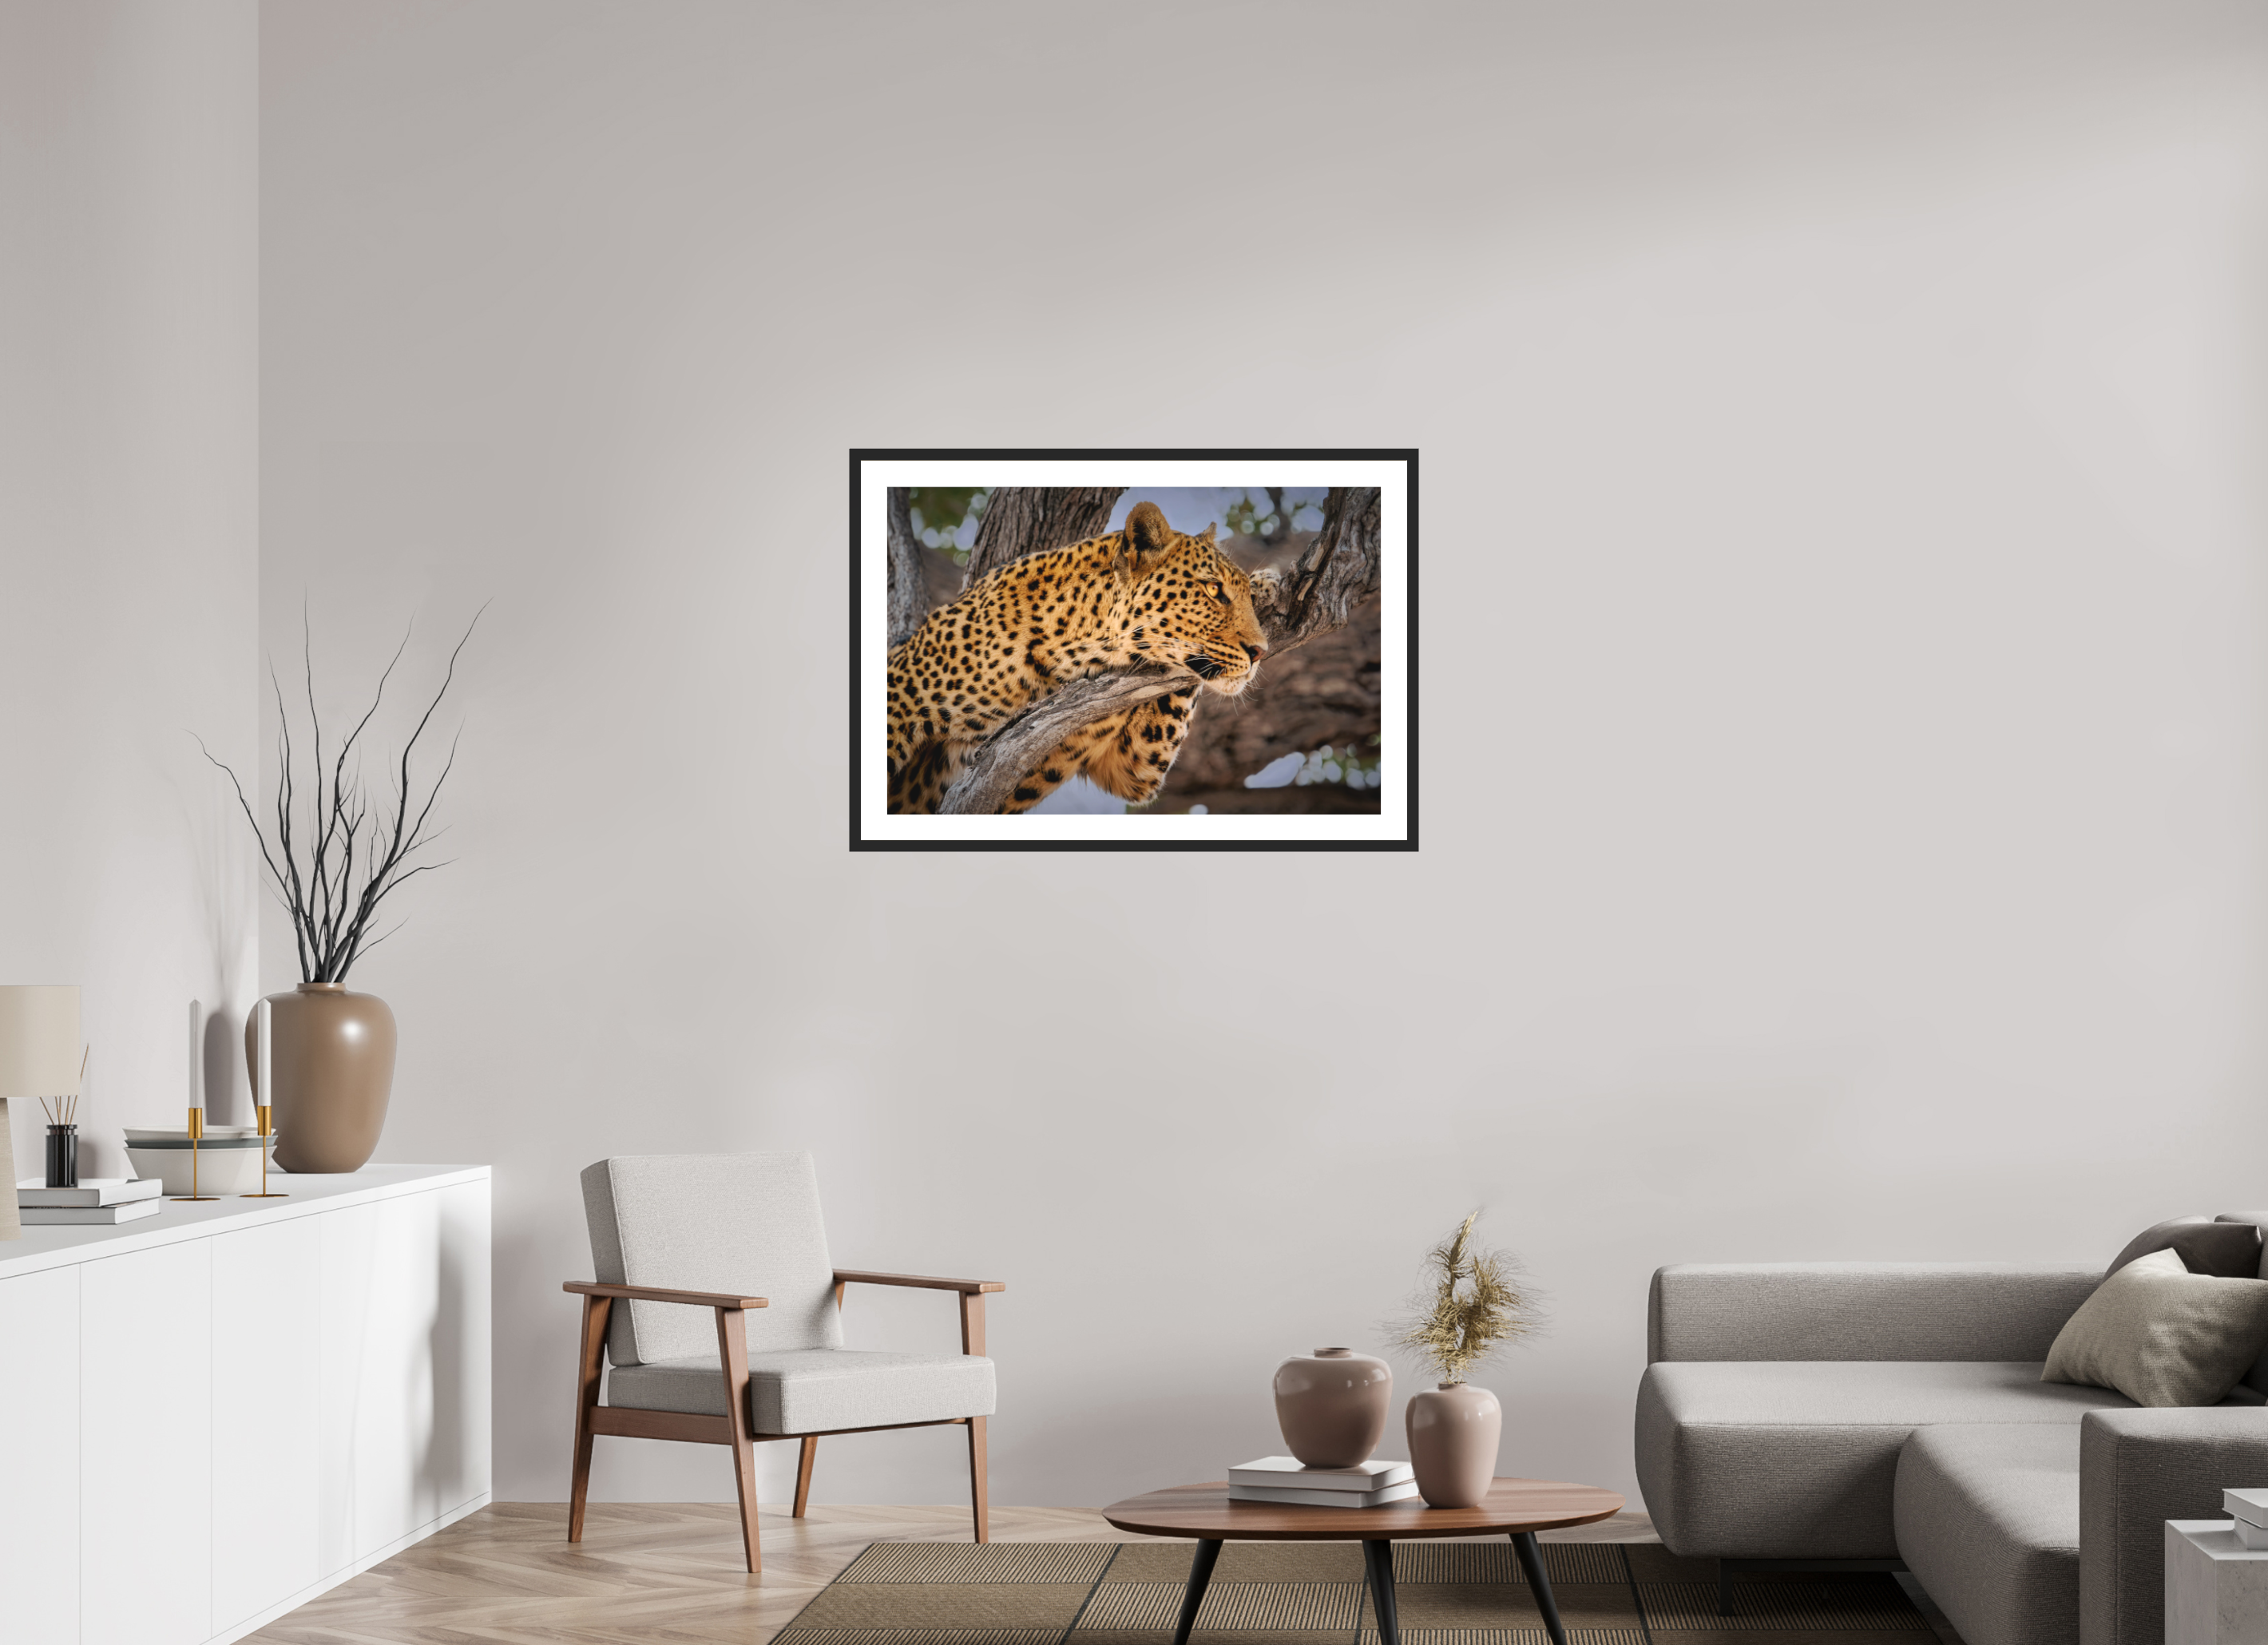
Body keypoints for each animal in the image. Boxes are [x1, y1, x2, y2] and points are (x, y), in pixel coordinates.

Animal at [886, 500, 1269, 815]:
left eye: (1244, 596)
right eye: (1213, 589)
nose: (1260, 651)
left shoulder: (1130, 766)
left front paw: (1265, 583)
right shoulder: (898, 708)